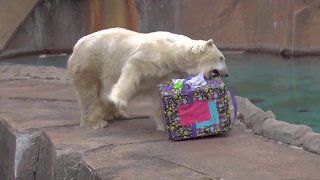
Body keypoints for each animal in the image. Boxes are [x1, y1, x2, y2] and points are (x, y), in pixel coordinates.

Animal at [67, 27, 229, 130]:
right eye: (221, 58)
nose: (227, 74)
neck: (174, 53)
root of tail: (76, 46)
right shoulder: (153, 54)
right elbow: (133, 67)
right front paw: (119, 99)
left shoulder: (167, 71)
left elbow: (159, 96)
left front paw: (164, 124)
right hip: (90, 63)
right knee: (89, 94)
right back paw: (96, 122)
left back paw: (116, 114)